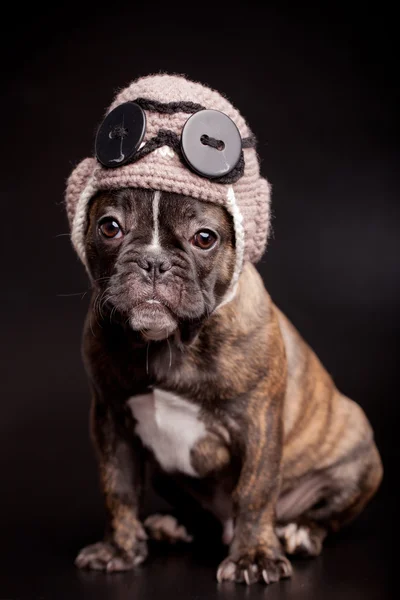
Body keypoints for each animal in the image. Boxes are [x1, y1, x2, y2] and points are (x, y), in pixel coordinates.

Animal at [73, 188, 382, 584]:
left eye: (205, 238)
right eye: (109, 227)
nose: (153, 262)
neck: (168, 344)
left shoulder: (258, 423)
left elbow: (254, 491)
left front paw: (254, 557)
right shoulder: (111, 420)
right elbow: (119, 486)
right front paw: (120, 549)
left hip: (357, 448)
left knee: (326, 512)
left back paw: (300, 532)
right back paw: (174, 525)